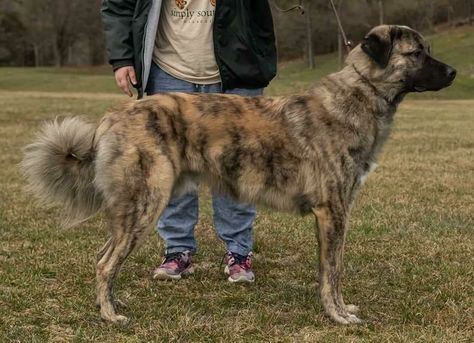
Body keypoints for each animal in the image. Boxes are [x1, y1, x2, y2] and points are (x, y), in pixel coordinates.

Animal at [21, 26, 456, 326]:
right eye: (416, 52)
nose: (454, 71)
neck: (360, 94)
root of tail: (112, 116)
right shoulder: (333, 212)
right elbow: (333, 270)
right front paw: (339, 316)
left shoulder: (332, 215)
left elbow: (329, 270)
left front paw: (340, 308)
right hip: (147, 203)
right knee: (105, 263)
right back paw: (111, 316)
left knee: (102, 256)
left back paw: (109, 305)